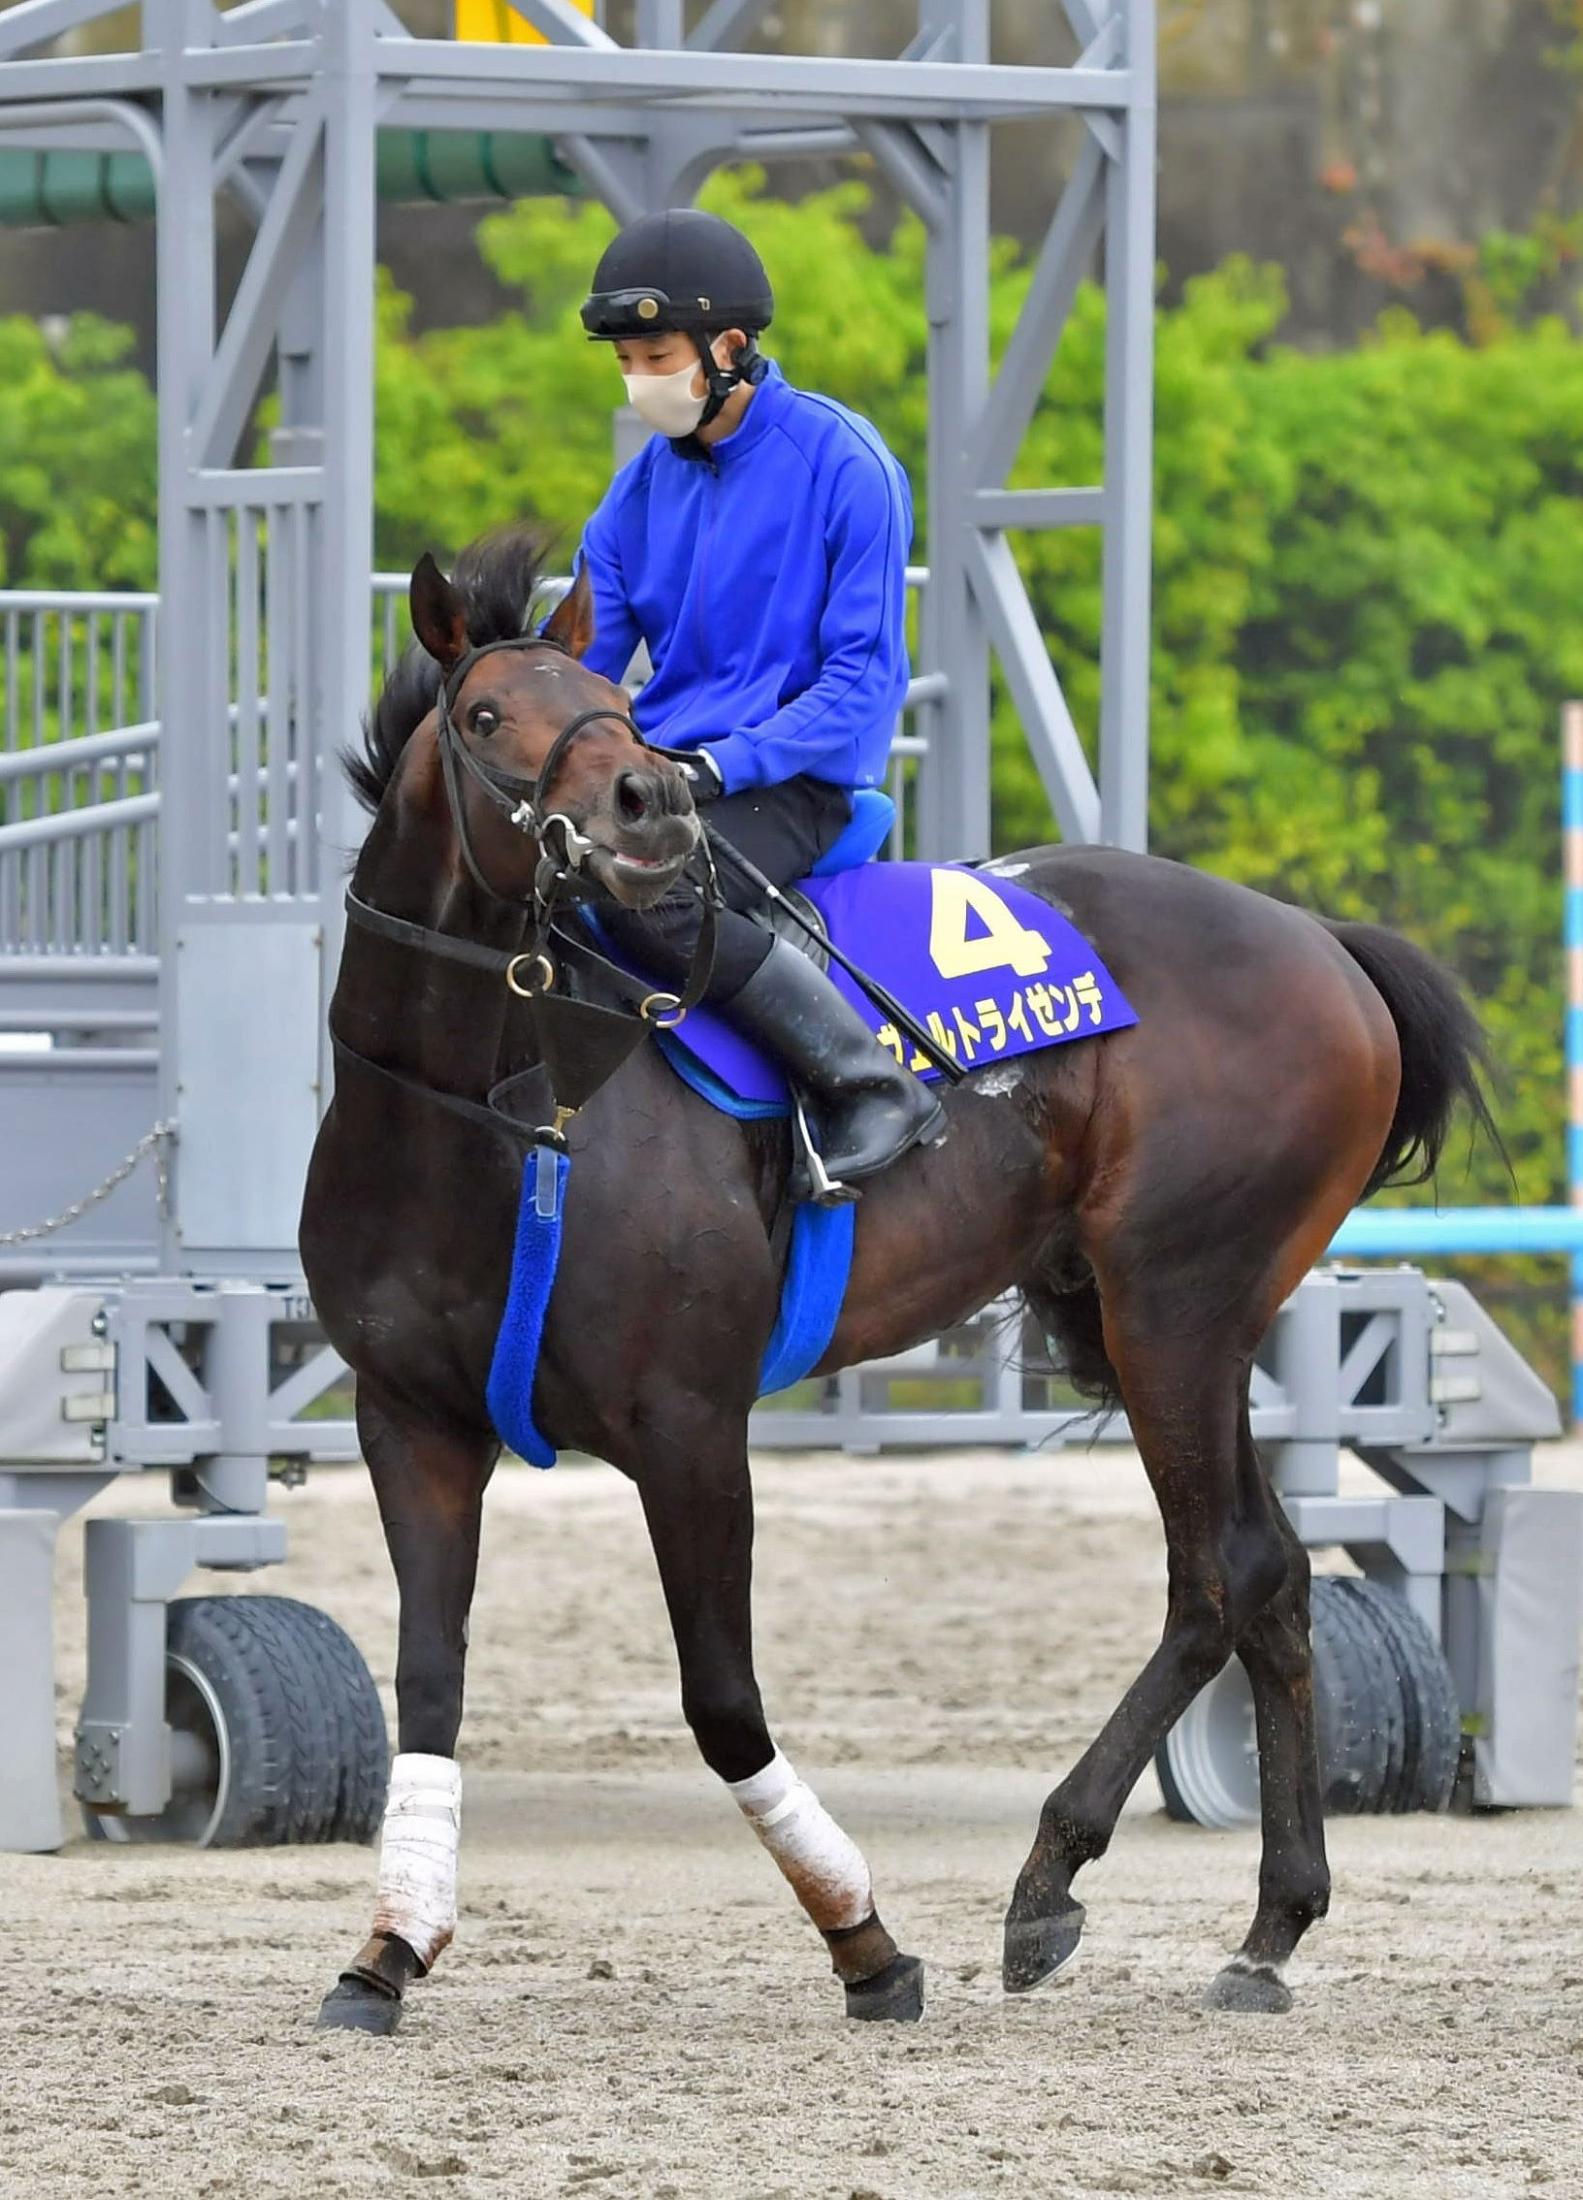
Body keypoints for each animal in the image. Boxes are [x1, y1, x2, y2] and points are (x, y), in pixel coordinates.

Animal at [305, 523, 1495, 2032]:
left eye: (616, 703)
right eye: (481, 716)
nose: (652, 804)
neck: (495, 1112)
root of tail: (1317, 939)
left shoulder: (689, 1433)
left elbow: (724, 1703)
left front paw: (862, 1938)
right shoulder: (412, 1421)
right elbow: (429, 1682)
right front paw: (388, 1947)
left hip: (1174, 1304)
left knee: (1213, 1574)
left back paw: (1049, 1875)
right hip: (1125, 1312)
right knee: (1272, 1576)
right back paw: (1266, 1927)